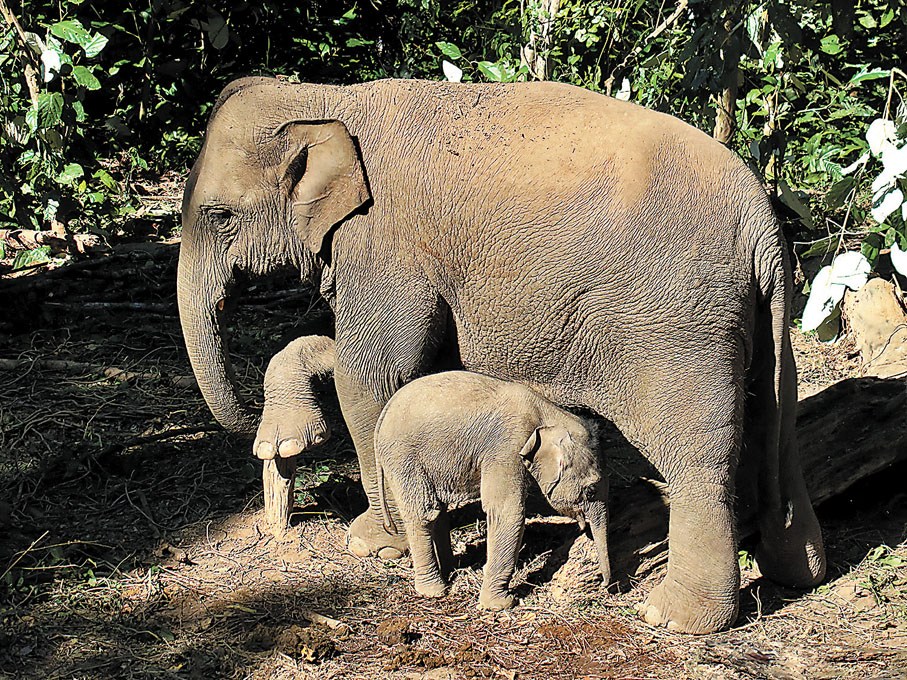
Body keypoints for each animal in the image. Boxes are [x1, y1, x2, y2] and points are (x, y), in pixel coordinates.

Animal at [374, 370, 610, 610]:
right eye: (591, 489)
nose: (605, 585)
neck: (550, 414)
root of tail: (383, 414)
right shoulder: (507, 448)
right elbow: (508, 512)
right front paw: (501, 604)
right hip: (403, 458)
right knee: (423, 513)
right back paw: (435, 590)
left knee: (436, 511)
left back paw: (451, 569)